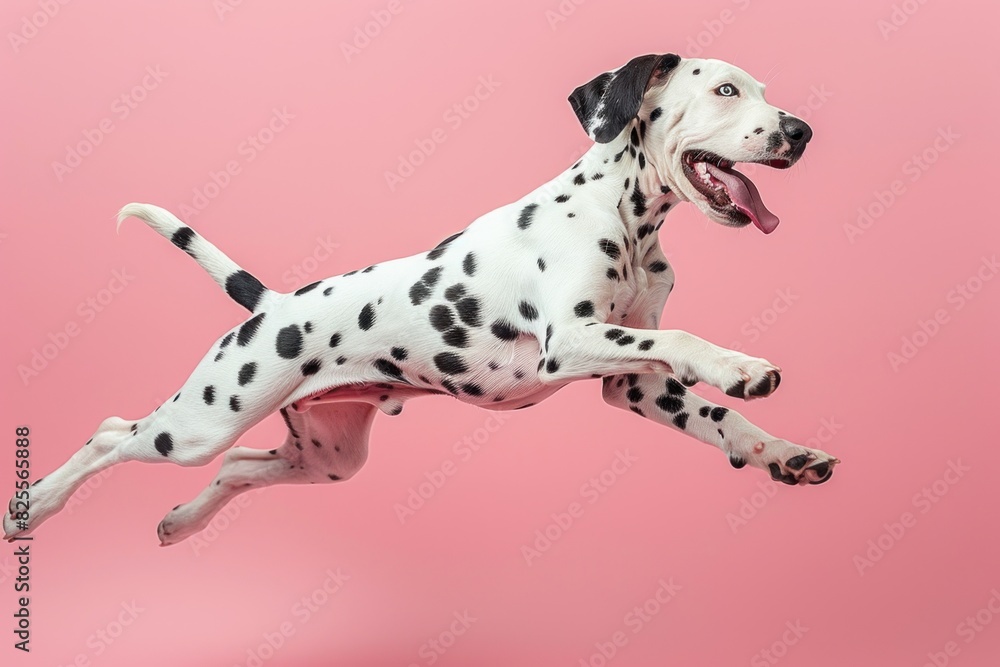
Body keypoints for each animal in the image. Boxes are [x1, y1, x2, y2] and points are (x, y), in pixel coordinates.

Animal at [5, 54, 836, 544]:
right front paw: (737, 365)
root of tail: (272, 306)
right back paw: (32, 508)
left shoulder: (633, 383)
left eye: (763, 92)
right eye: (724, 91)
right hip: (199, 421)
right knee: (112, 433)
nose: (800, 130)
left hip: (329, 458)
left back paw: (180, 521)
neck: (624, 217)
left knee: (239, 466)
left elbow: (724, 419)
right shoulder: (569, 340)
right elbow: (689, 341)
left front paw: (782, 452)